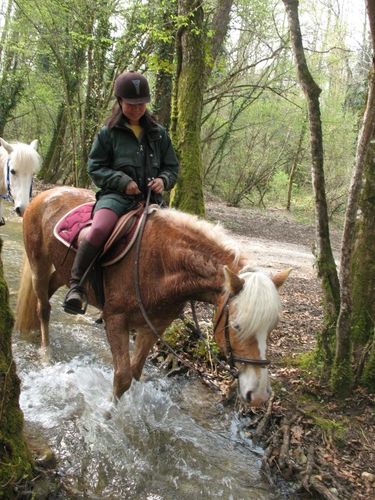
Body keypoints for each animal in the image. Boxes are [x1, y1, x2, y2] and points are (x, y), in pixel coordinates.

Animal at [15, 188, 290, 406]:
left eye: (270, 330)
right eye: (237, 326)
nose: (260, 396)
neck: (162, 262)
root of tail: (45, 194)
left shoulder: (153, 325)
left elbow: (136, 372)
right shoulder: (115, 319)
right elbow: (123, 377)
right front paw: (107, 413)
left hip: (64, 271)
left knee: (51, 291)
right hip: (39, 263)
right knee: (43, 307)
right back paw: (46, 353)